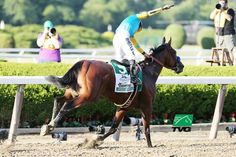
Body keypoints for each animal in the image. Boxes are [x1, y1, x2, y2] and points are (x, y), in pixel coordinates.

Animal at [40, 37, 184, 147]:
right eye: (174, 51)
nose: (181, 66)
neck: (148, 73)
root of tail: (85, 63)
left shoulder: (123, 107)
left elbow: (114, 127)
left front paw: (94, 141)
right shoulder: (147, 106)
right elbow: (147, 128)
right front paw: (150, 145)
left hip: (73, 92)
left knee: (58, 100)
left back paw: (47, 127)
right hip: (88, 96)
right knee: (66, 106)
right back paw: (51, 125)